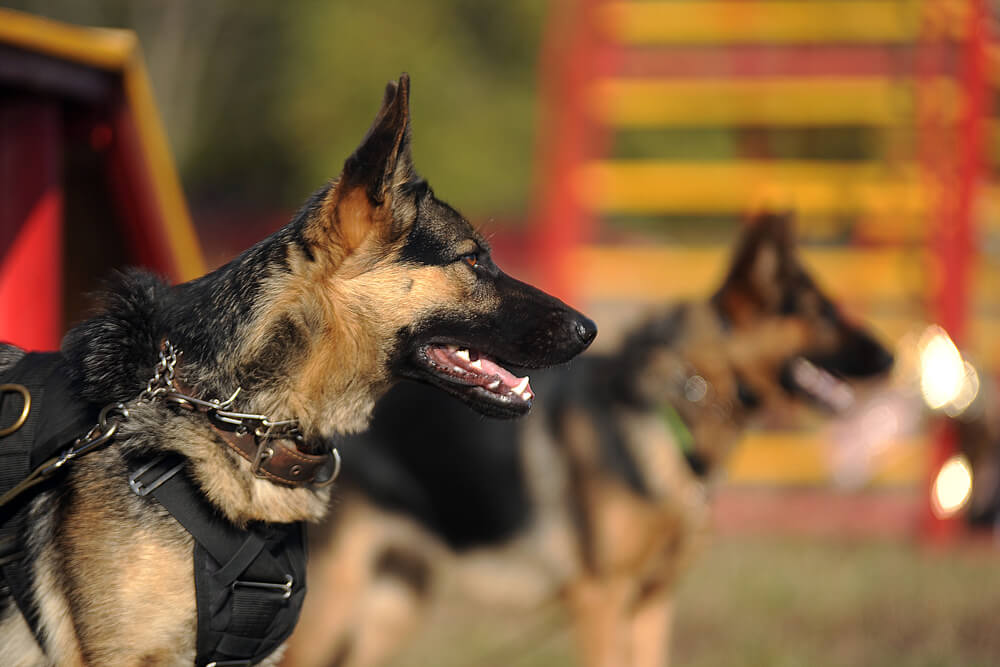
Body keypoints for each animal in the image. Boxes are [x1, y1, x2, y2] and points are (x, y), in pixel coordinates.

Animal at [282, 213, 892, 667]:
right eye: (821, 313)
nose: (892, 357)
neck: (676, 404)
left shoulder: (651, 605)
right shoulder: (600, 601)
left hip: (391, 604)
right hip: (332, 605)